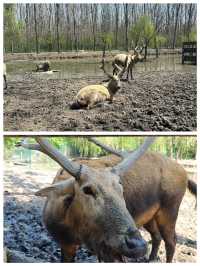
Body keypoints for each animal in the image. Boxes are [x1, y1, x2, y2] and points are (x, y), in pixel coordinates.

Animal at [19, 137, 197, 262]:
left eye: (121, 188)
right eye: (87, 190)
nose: (136, 245)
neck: (73, 231)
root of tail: (185, 174)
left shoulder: (106, 249)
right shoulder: (66, 243)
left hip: (170, 208)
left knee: (171, 241)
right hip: (150, 216)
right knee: (157, 237)